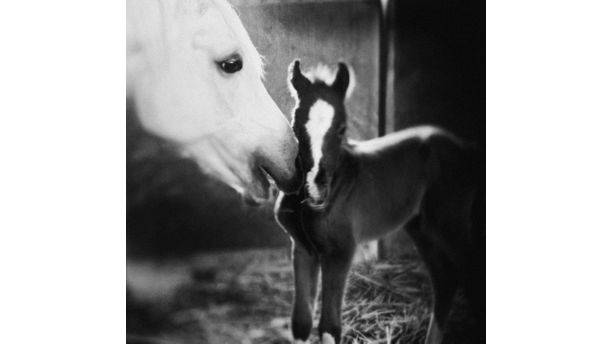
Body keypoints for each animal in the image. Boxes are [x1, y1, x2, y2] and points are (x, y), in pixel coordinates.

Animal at [274, 60, 486, 342]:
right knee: (445, 279)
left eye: (341, 129)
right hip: (421, 227)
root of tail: (466, 147)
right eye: (296, 126)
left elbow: (330, 326)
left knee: (471, 275)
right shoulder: (302, 247)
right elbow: (301, 323)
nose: (315, 189)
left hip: (451, 225)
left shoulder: (340, 250)